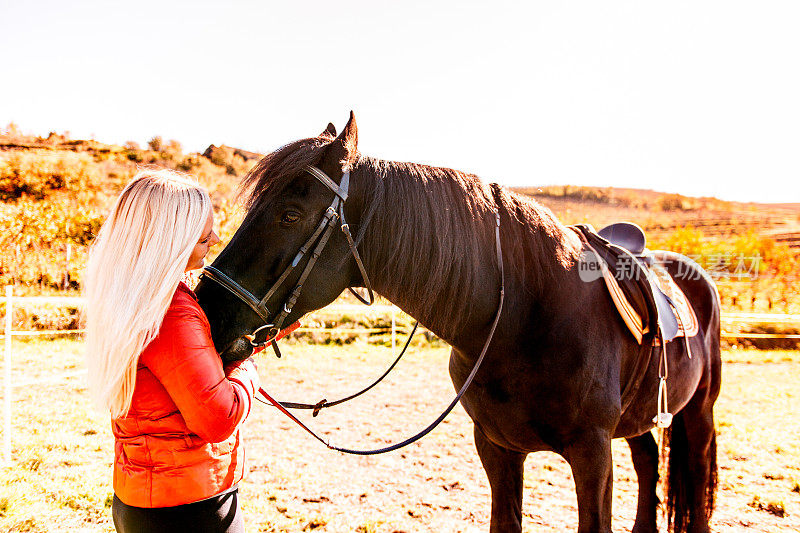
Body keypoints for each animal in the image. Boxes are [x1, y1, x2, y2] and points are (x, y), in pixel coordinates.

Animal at [197, 114, 720, 528]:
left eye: (289, 214)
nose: (207, 310)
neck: (522, 318)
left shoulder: (592, 456)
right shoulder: (496, 449)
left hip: (698, 411)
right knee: (649, 461)